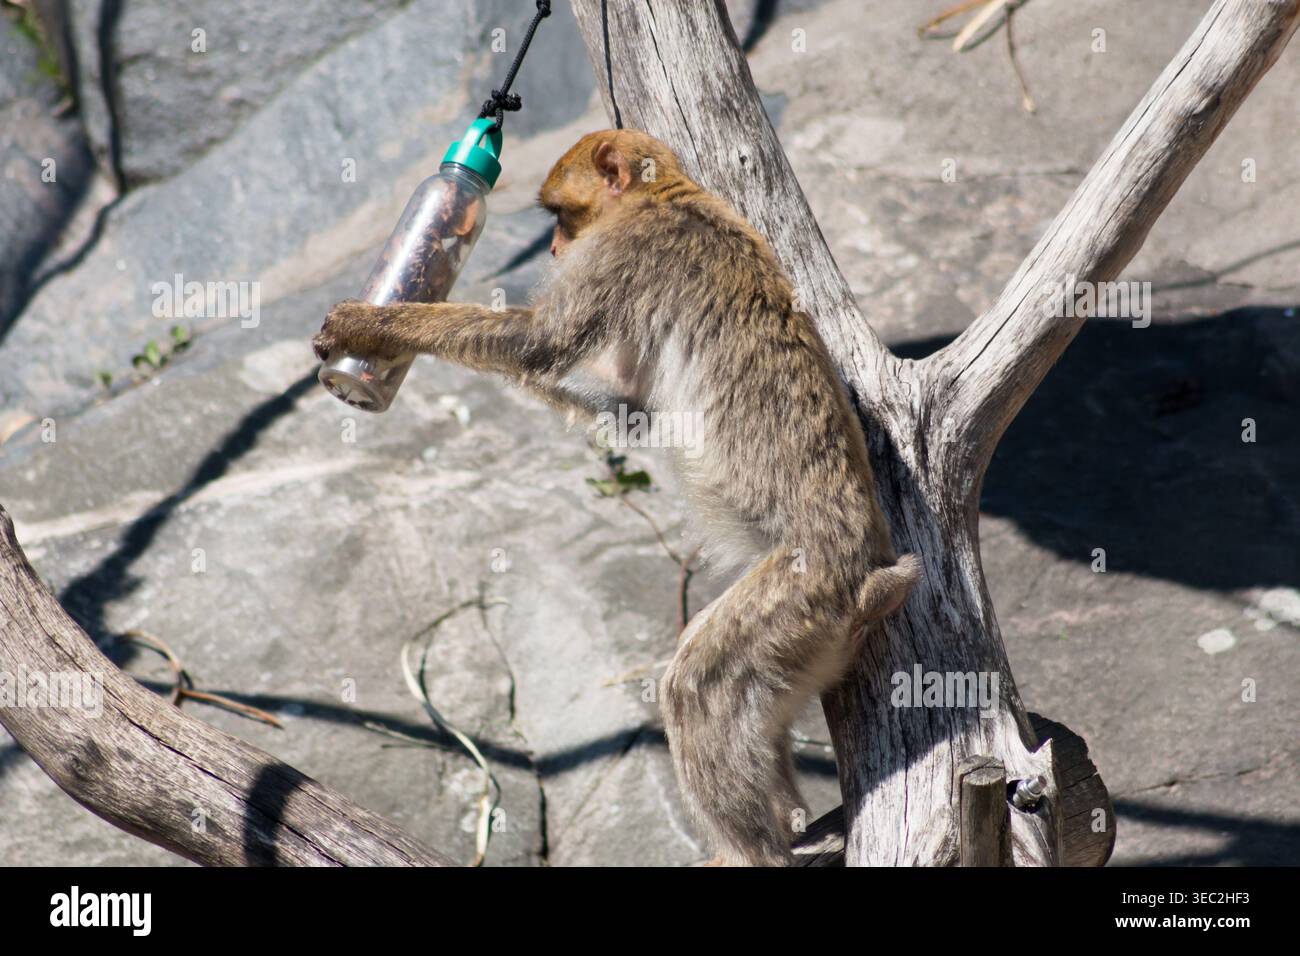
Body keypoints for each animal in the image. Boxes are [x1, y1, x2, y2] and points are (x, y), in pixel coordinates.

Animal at [312, 129, 920, 866]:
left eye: (559, 217)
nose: (551, 250)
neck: (667, 195)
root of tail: (872, 575)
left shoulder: (623, 251)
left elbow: (536, 344)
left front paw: (375, 327)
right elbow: (628, 405)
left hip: (803, 591)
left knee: (697, 688)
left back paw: (755, 852)